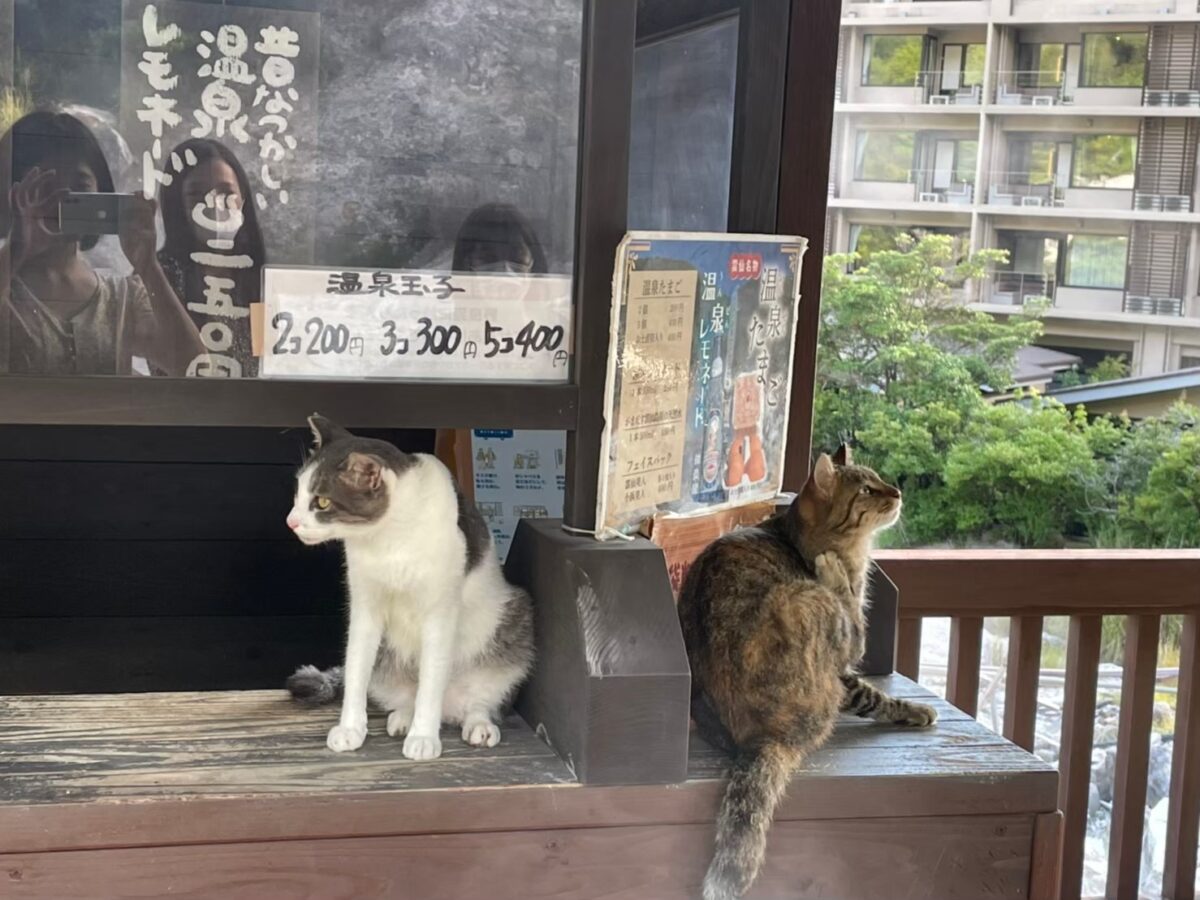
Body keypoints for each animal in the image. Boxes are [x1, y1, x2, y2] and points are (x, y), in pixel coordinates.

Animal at [283, 415, 532, 763]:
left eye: (321, 501)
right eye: (297, 493)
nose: (290, 521)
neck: (388, 539)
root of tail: (450, 710)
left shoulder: (440, 612)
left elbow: (431, 682)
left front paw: (424, 737)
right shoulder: (364, 605)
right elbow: (356, 668)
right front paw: (350, 730)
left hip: (514, 616)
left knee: (480, 700)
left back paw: (478, 725)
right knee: (399, 692)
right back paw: (402, 717)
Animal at [676, 448, 936, 897]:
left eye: (879, 478)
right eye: (866, 490)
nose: (897, 491)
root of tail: (760, 740)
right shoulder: (847, 650)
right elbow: (874, 688)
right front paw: (916, 711)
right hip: (810, 603)